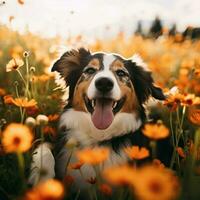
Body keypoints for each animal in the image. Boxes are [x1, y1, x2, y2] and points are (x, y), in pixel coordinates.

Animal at [28, 47, 166, 191]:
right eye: (90, 70)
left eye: (121, 72)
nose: (104, 83)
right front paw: (42, 178)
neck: (99, 135)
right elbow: (44, 147)